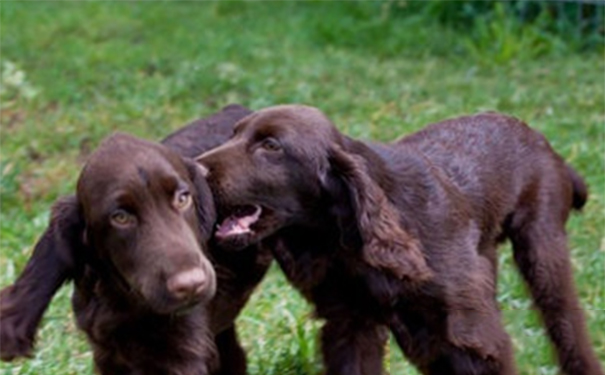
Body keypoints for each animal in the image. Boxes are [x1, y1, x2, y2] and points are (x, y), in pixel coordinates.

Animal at [197, 105, 600, 375]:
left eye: (271, 146)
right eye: (233, 134)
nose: (196, 170)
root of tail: (544, 142)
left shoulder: (474, 338)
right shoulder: (351, 325)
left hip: (543, 249)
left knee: (569, 329)